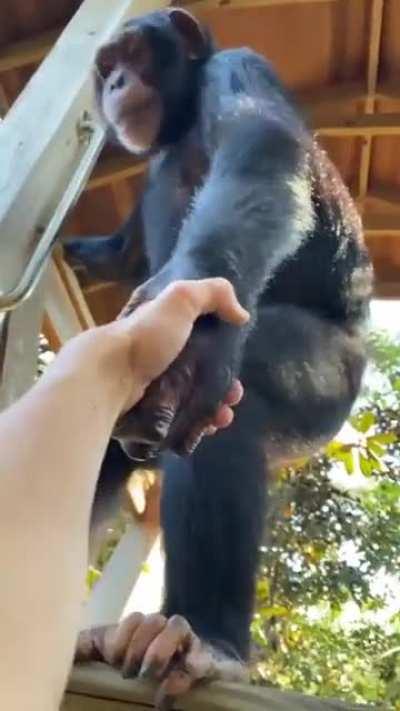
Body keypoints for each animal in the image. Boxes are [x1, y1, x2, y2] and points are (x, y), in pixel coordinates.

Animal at [65, 8, 373, 708]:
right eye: (107, 66)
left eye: (132, 54)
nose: (116, 81)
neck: (178, 126)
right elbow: (117, 253)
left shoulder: (240, 68)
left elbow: (261, 154)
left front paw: (192, 328)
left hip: (330, 385)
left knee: (239, 395)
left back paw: (207, 638)